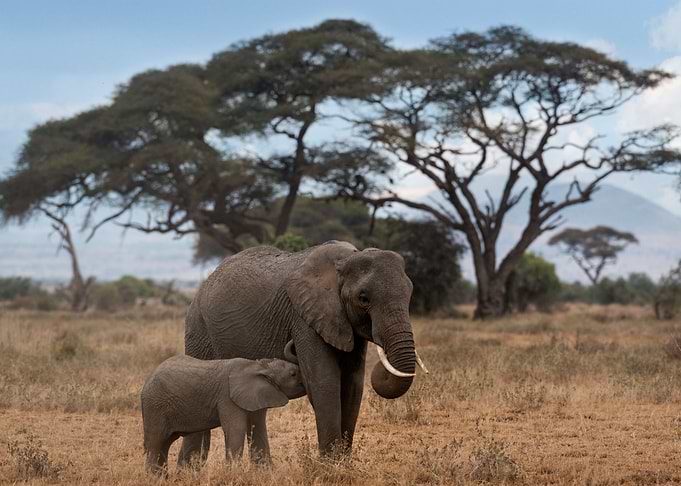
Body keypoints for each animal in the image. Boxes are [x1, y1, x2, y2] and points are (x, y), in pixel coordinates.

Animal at [141, 353, 306, 474]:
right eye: (293, 374)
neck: (260, 366)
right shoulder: (227, 398)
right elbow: (235, 430)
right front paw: (234, 475)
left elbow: (258, 430)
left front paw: (267, 475)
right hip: (155, 407)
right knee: (156, 443)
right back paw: (154, 479)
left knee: (165, 444)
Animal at [178, 240, 427, 464]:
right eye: (363, 299)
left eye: (410, 293)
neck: (347, 259)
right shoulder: (304, 318)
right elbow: (324, 381)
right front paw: (331, 467)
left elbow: (352, 384)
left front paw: (344, 464)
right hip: (199, 328)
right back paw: (190, 469)